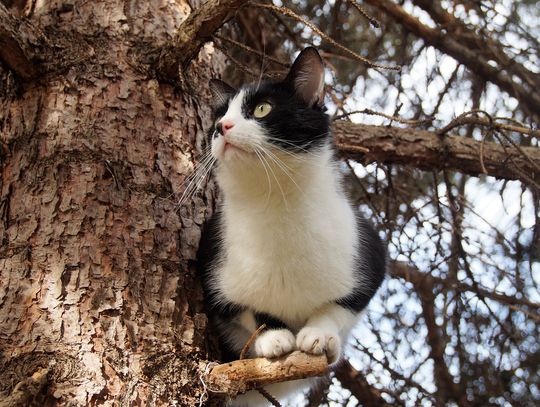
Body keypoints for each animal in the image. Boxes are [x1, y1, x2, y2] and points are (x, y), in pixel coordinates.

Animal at [198, 48, 388, 407]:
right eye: (217, 119)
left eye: (262, 108)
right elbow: (249, 310)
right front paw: (274, 337)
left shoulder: (371, 254)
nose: (222, 127)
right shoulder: (212, 269)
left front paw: (319, 334)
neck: (276, 205)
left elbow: (341, 304)